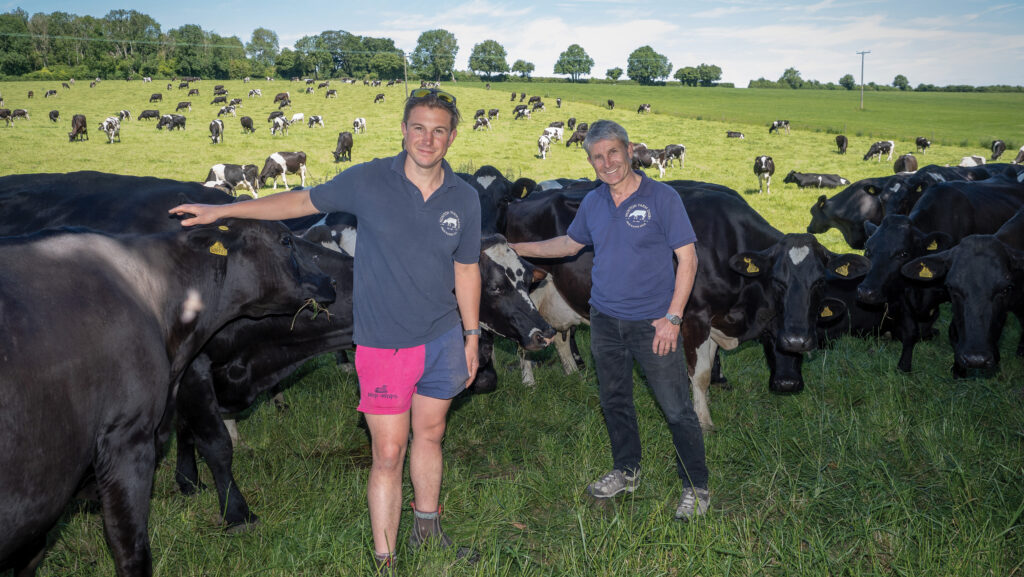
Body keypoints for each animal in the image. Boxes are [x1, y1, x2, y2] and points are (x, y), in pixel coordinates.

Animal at [856, 178, 1024, 373]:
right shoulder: (902, 290)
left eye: (903, 254)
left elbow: (954, 331)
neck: (921, 291)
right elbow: (910, 331)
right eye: (868, 251)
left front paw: (958, 370)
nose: (866, 292)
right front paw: (904, 365)